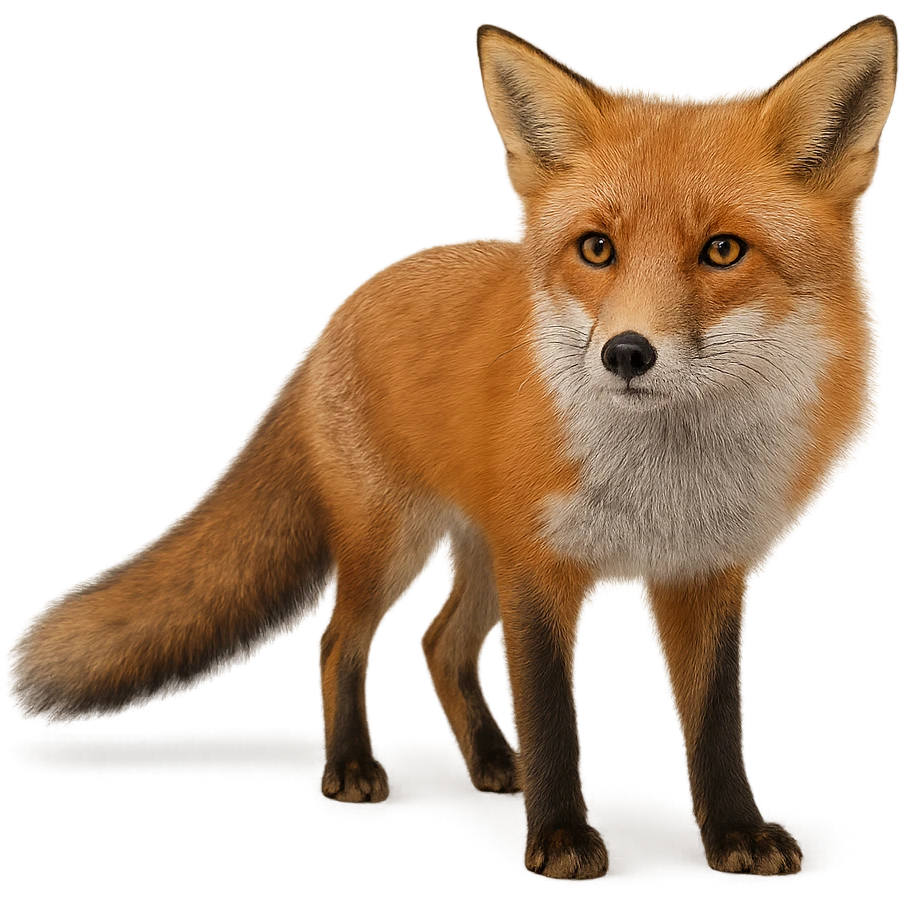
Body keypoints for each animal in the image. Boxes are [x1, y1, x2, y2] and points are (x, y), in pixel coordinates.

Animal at [4, 16, 897, 881]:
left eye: (722, 250)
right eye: (595, 248)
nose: (625, 353)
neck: (662, 474)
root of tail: (345, 306)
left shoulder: (701, 570)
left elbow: (714, 722)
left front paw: (734, 833)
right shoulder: (540, 568)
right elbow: (549, 713)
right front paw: (561, 837)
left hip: (479, 552)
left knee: (438, 643)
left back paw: (492, 761)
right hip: (393, 542)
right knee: (339, 640)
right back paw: (354, 765)